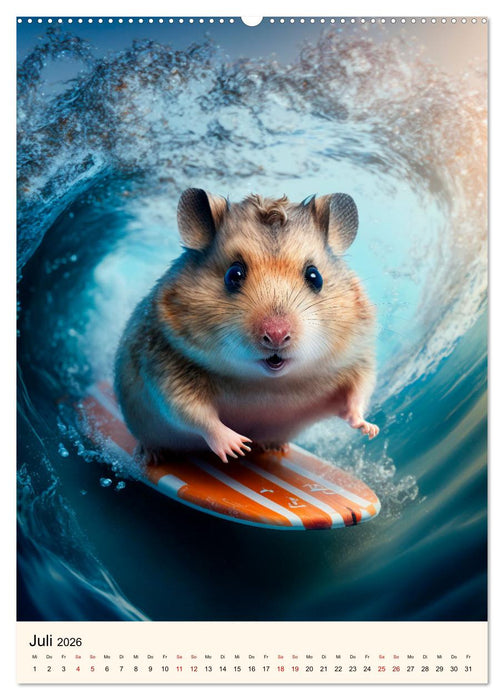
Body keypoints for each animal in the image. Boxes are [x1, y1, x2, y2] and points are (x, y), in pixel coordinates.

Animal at [114, 188, 379, 464]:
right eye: (233, 274)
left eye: (315, 277)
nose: (276, 335)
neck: (268, 383)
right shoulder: (166, 370)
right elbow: (194, 413)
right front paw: (239, 446)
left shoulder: (359, 360)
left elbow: (357, 395)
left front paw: (370, 429)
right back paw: (150, 456)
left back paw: (275, 447)